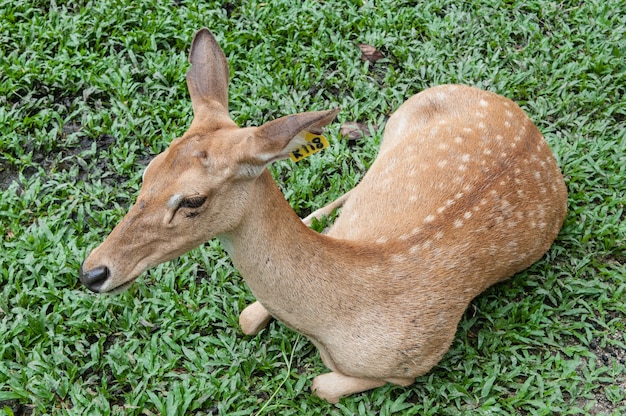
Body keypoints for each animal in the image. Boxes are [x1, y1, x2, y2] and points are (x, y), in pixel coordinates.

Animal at [78, 26, 564, 404]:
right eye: (148, 170)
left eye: (193, 200)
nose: (93, 272)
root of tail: (529, 126)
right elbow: (247, 317)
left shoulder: (416, 361)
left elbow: (319, 385)